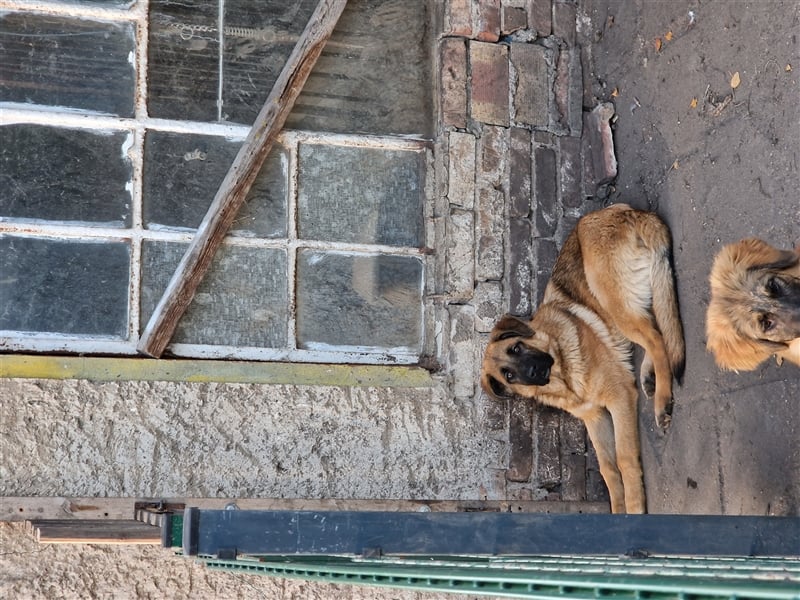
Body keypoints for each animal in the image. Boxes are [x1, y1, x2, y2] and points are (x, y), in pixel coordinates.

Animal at [478, 204, 684, 512]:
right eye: (509, 376)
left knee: (657, 339)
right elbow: (608, 469)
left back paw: (662, 399)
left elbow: (623, 459)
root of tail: (627, 211)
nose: (535, 371)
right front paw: (619, 508)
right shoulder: (594, 416)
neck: (564, 376)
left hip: (608, 293)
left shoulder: (619, 397)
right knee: (655, 326)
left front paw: (634, 508)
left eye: (516, 348)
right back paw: (651, 377)